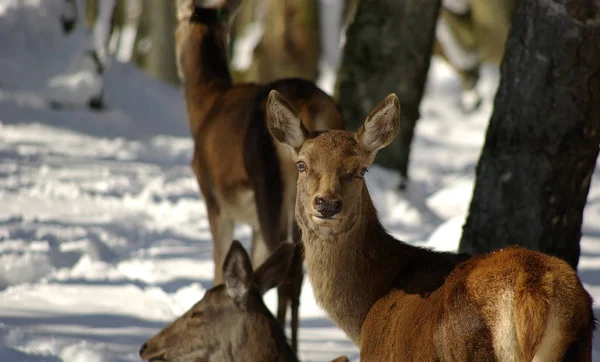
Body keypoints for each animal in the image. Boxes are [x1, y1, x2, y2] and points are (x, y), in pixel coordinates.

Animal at [171, 0, 344, 350]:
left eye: (175, 26)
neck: (203, 108)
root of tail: (312, 109)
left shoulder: (213, 197)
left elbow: (221, 264)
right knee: (298, 273)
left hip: (269, 185)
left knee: (288, 271)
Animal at [268, 91, 596, 362]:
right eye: (302, 164)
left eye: (360, 170)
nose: (327, 203)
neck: (365, 312)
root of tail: (533, 290)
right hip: (581, 346)